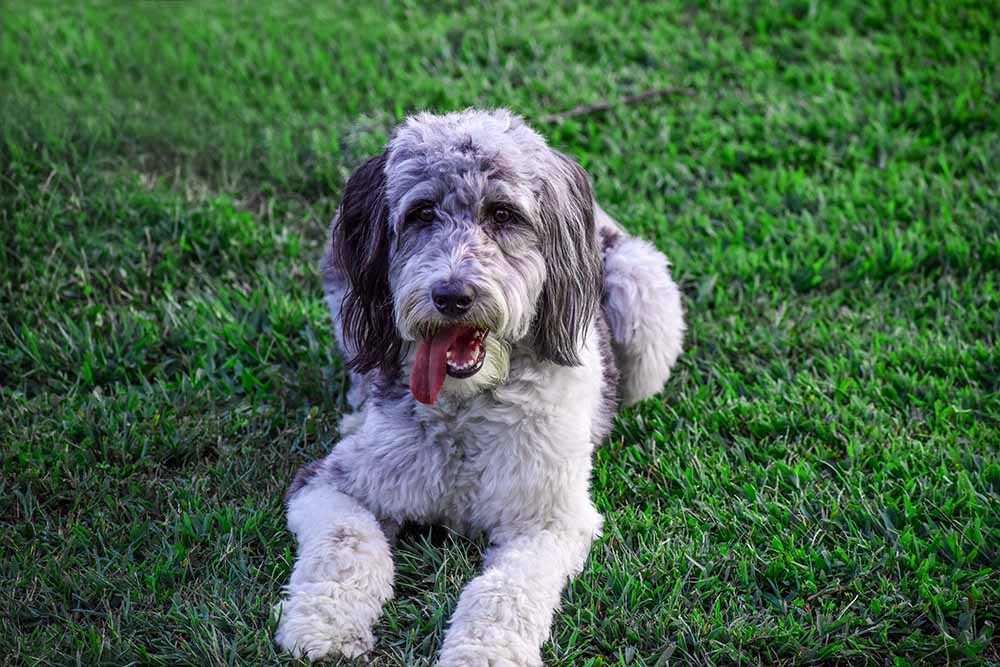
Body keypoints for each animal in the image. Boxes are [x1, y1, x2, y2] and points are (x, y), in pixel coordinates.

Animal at [274, 107, 684, 664]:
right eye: (422, 212)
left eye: (504, 214)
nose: (451, 295)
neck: (464, 416)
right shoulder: (329, 482)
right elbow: (347, 542)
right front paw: (324, 625)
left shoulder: (549, 519)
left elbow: (504, 590)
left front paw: (482, 653)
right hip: (346, 301)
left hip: (646, 296)